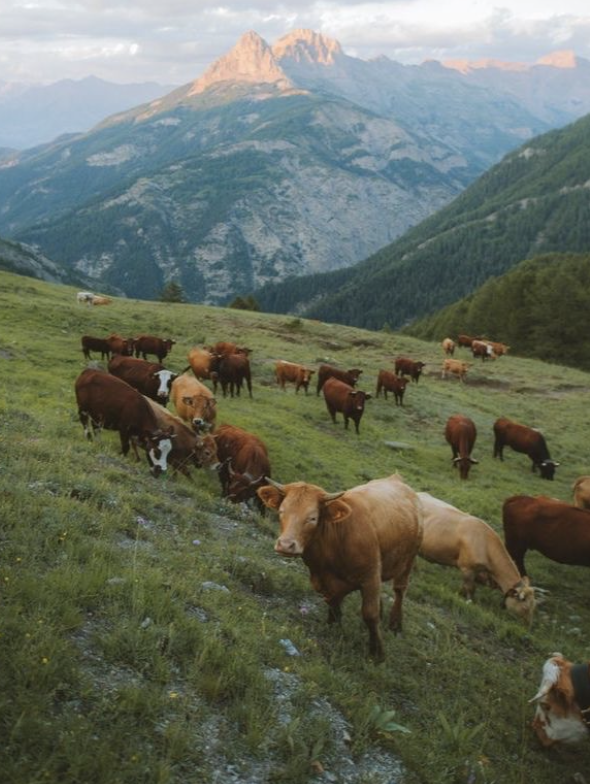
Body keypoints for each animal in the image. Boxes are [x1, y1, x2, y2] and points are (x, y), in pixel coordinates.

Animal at [257, 474, 423, 661]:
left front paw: (377, 653)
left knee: (400, 589)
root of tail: (396, 479)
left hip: (409, 559)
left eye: (313, 518)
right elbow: (334, 605)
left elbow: (370, 614)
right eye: (281, 511)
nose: (285, 545)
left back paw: (395, 624)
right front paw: (333, 628)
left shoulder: (370, 575)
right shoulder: (324, 581)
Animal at [417, 492, 535, 625]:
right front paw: (468, 601)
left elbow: (467, 586)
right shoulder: (467, 568)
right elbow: (470, 588)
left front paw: (459, 593)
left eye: (534, 607)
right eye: (525, 607)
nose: (528, 625)